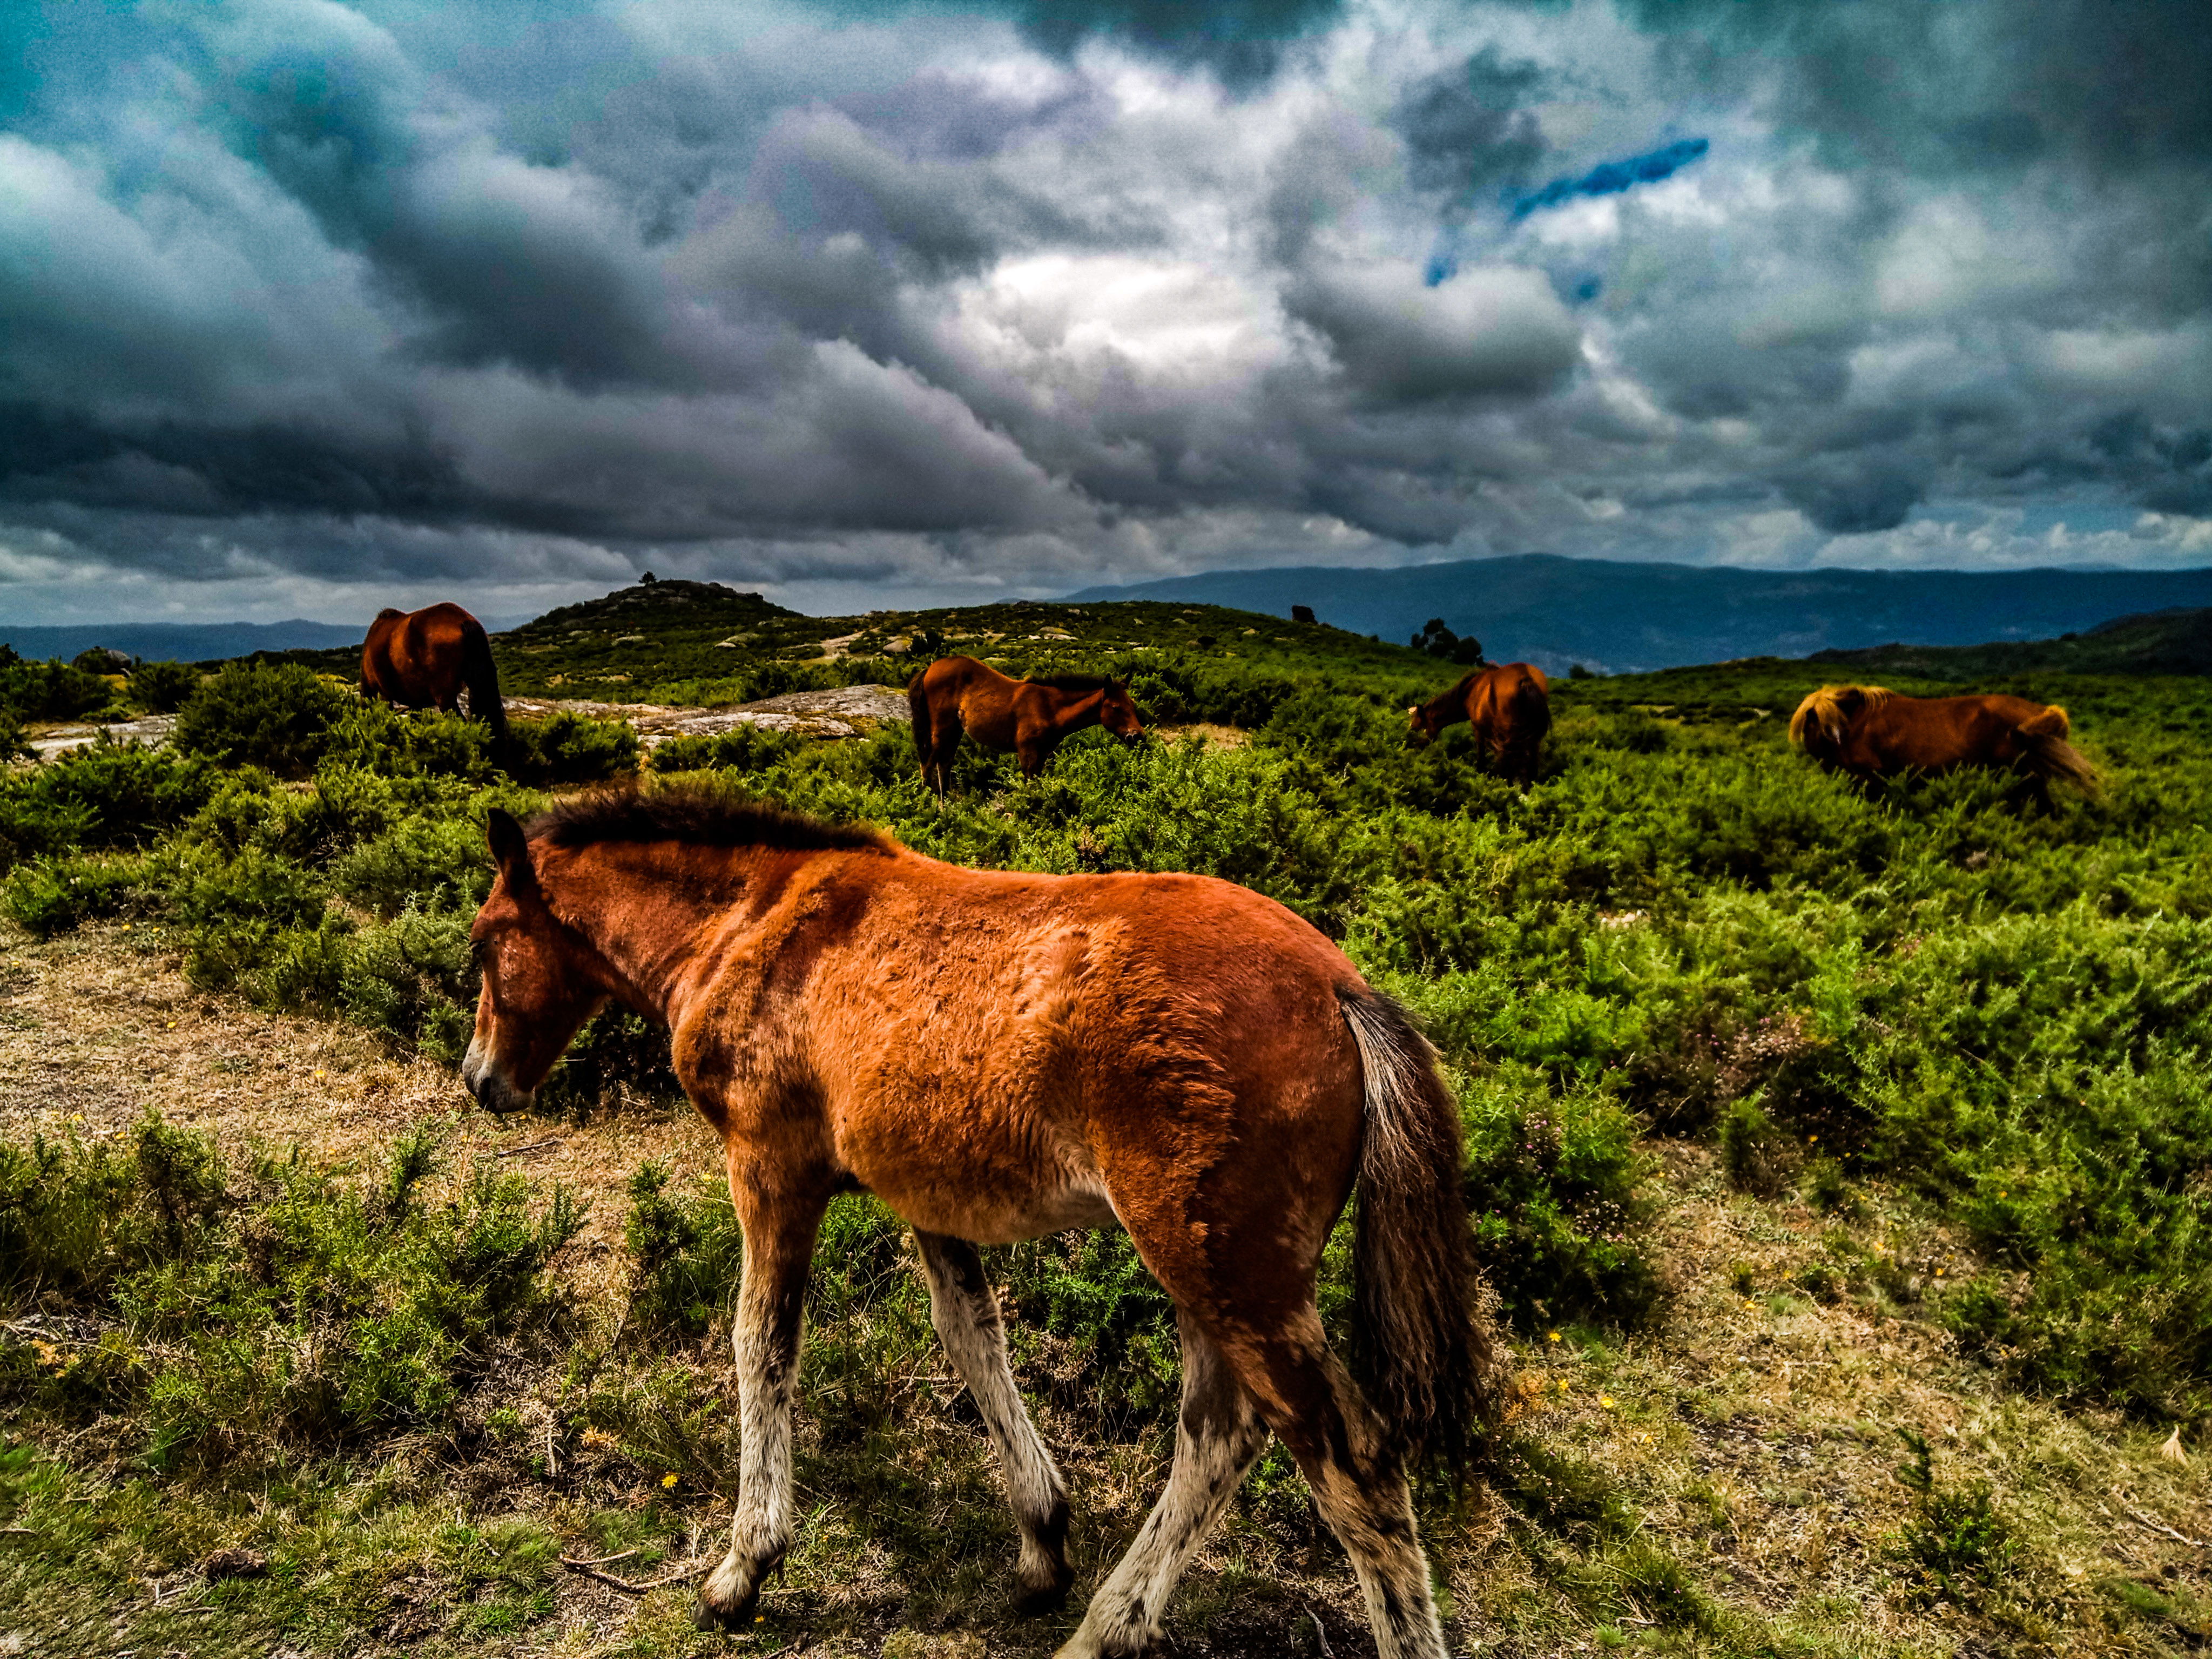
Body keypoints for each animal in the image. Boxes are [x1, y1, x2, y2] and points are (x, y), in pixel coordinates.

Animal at [460, 787, 1513, 1654]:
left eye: (483, 940)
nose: (481, 1081)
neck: (753, 927)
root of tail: (1343, 990)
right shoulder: (926, 1196)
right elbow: (973, 1337)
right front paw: (1043, 1540)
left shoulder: (770, 1168)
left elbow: (761, 1342)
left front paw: (743, 1569)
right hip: (1213, 1269)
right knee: (1222, 1431)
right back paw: (1104, 1629)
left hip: (1220, 1262)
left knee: (1348, 1460)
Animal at [1407, 663, 1548, 787]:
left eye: (1418, 728)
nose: (1411, 748)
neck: (1468, 692)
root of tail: (1526, 678)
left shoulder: (1478, 729)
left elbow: (1482, 755)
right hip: (1532, 738)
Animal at [1787, 685, 2097, 810]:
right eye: (1819, 724)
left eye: (1834, 724)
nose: (1837, 740)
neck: (1859, 722)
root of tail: (2039, 711)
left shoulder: (1869, 780)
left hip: (2025, 780)